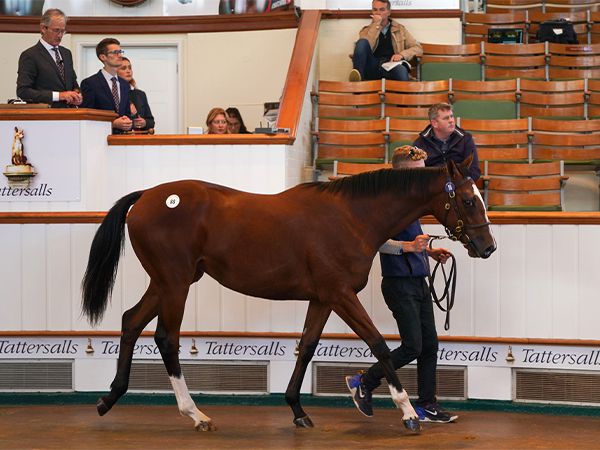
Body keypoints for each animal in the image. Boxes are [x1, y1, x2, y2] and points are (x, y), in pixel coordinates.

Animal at [84, 154, 496, 432]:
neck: (353, 217)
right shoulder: (341, 295)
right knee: (166, 338)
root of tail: (147, 197)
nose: (487, 246)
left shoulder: (323, 298)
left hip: (166, 282)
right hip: (175, 283)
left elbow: (307, 346)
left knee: (131, 322)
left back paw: (109, 398)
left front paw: (297, 410)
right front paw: (408, 413)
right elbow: (378, 343)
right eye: (468, 200)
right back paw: (195, 414)